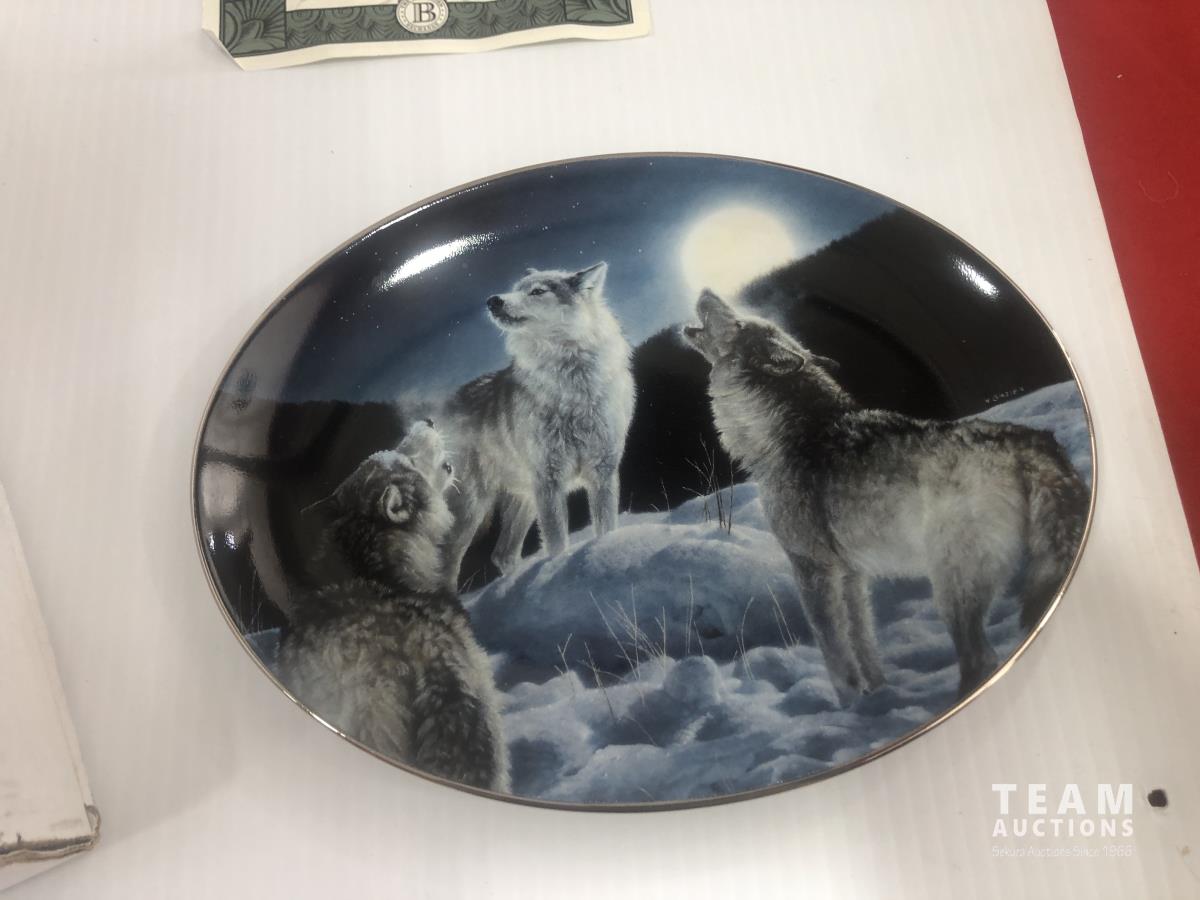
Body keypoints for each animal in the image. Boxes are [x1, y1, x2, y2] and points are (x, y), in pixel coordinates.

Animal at [439, 262, 635, 586]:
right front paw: (558, 573)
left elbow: (605, 528)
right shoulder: (550, 481)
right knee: (446, 564)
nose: (493, 300)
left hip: (524, 499)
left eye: (537, 291)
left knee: (502, 554)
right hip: (472, 506)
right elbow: (556, 543)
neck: (572, 388)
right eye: (515, 288)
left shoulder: (602, 474)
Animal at [683, 289, 1088, 705]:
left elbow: (834, 651)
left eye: (738, 323)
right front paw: (877, 695)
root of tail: (1029, 444)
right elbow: (863, 641)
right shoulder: (851, 573)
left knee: (981, 659)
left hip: (951, 588)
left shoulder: (812, 568)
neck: (793, 434)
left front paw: (849, 706)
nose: (706, 293)